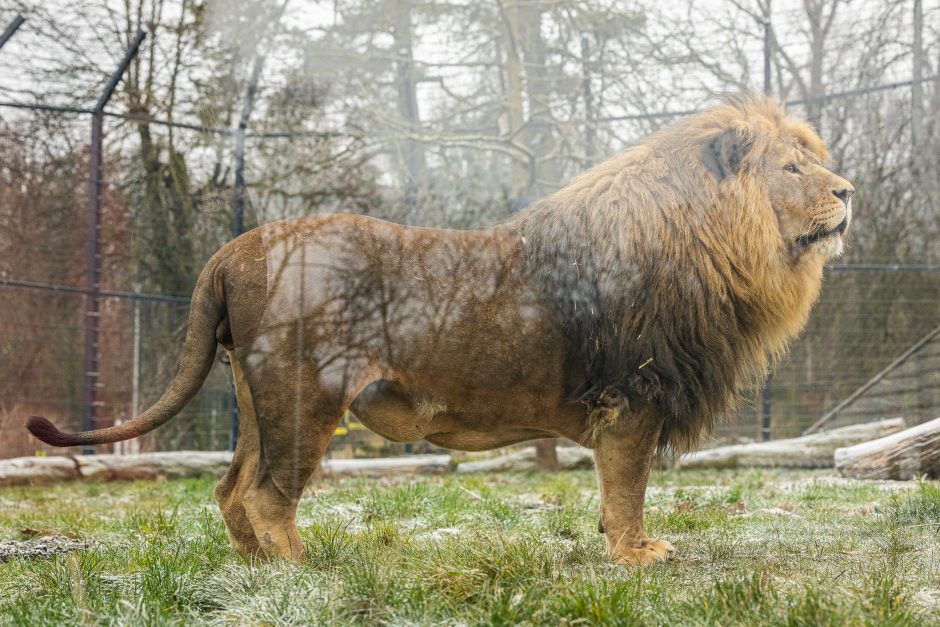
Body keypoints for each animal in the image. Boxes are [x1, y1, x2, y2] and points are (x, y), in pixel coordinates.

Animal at [27, 95, 852, 568]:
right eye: (792, 168)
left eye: (815, 163)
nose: (848, 191)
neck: (719, 245)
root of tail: (235, 247)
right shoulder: (632, 398)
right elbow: (627, 490)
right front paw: (638, 554)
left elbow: (616, 490)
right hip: (304, 394)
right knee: (266, 492)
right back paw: (299, 568)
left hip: (260, 399)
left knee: (232, 487)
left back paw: (253, 567)